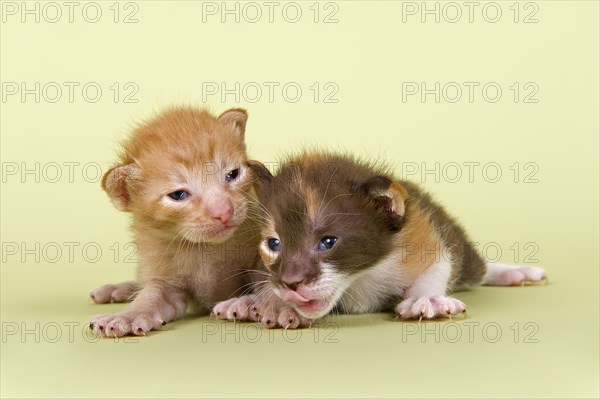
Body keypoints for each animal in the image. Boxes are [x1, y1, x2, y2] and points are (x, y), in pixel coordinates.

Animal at [89, 107, 260, 338]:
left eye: (233, 174)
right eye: (178, 195)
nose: (224, 212)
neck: (205, 249)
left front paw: (247, 303)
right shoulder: (167, 281)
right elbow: (151, 294)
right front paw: (128, 316)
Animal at [213, 152, 548, 330]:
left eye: (328, 241)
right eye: (274, 244)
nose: (291, 284)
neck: (359, 278)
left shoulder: (422, 232)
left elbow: (438, 264)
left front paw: (427, 299)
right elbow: (264, 278)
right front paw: (273, 303)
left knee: (478, 268)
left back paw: (514, 272)